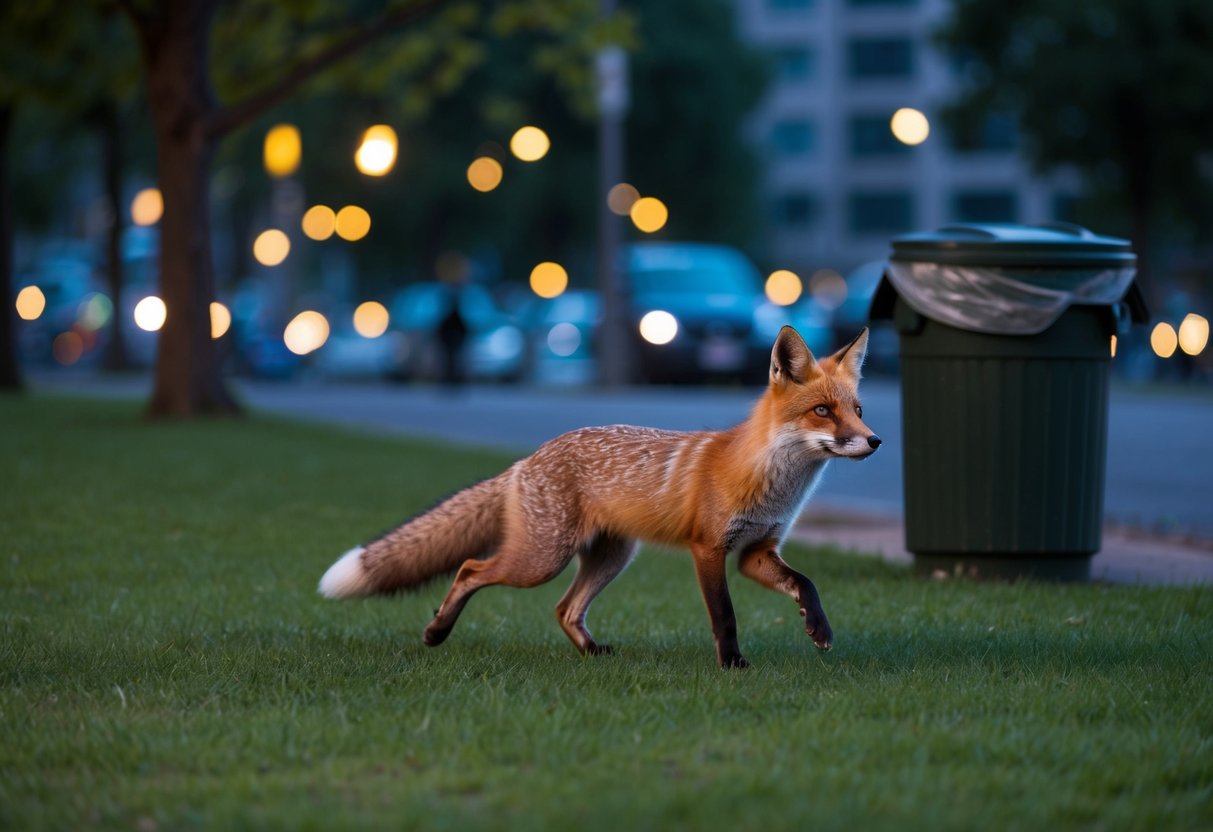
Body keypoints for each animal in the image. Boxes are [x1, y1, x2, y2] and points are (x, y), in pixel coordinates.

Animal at [319, 325, 880, 668]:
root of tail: (527, 460)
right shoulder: (709, 549)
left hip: (611, 557)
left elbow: (806, 583)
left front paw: (818, 628)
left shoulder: (757, 551)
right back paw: (436, 632)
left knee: (564, 609)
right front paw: (733, 664)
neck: (772, 483)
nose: (874, 441)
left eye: (857, 409)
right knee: (471, 569)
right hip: (541, 559)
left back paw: (591, 653)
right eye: (823, 412)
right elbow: (725, 615)